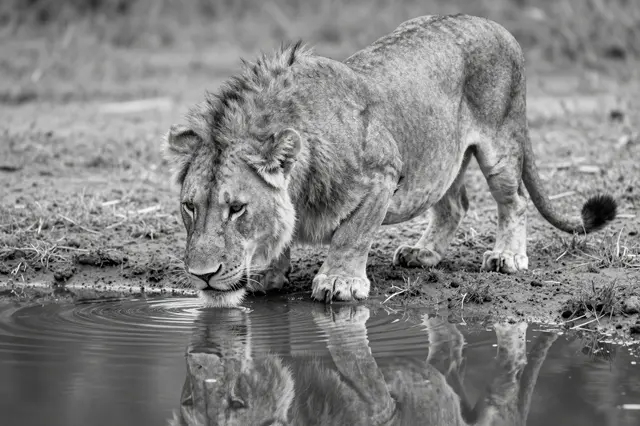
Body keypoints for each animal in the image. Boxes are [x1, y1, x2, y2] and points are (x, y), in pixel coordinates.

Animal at [164, 14, 617, 307]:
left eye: (237, 209)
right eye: (189, 207)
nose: (202, 275)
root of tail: (496, 24)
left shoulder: (382, 176)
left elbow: (352, 235)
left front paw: (340, 282)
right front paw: (268, 274)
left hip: (500, 145)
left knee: (515, 201)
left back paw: (507, 257)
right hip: (440, 157)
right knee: (455, 205)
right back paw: (423, 253)